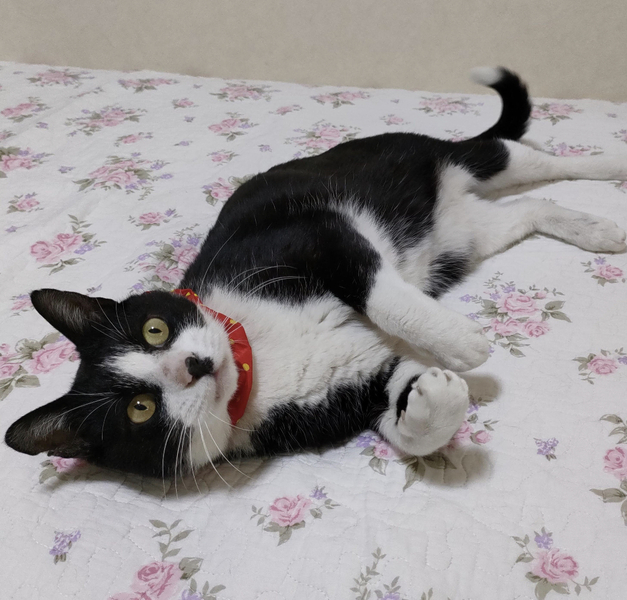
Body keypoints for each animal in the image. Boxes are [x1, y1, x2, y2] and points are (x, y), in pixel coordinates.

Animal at [5, 67, 627, 480]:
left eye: (154, 329)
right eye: (140, 410)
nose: (193, 364)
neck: (253, 360)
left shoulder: (302, 235)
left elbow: (374, 285)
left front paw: (459, 342)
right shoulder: (340, 397)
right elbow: (401, 406)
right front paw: (434, 399)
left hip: (439, 162)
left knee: (526, 158)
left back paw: (609, 165)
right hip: (466, 237)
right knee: (530, 209)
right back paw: (595, 228)